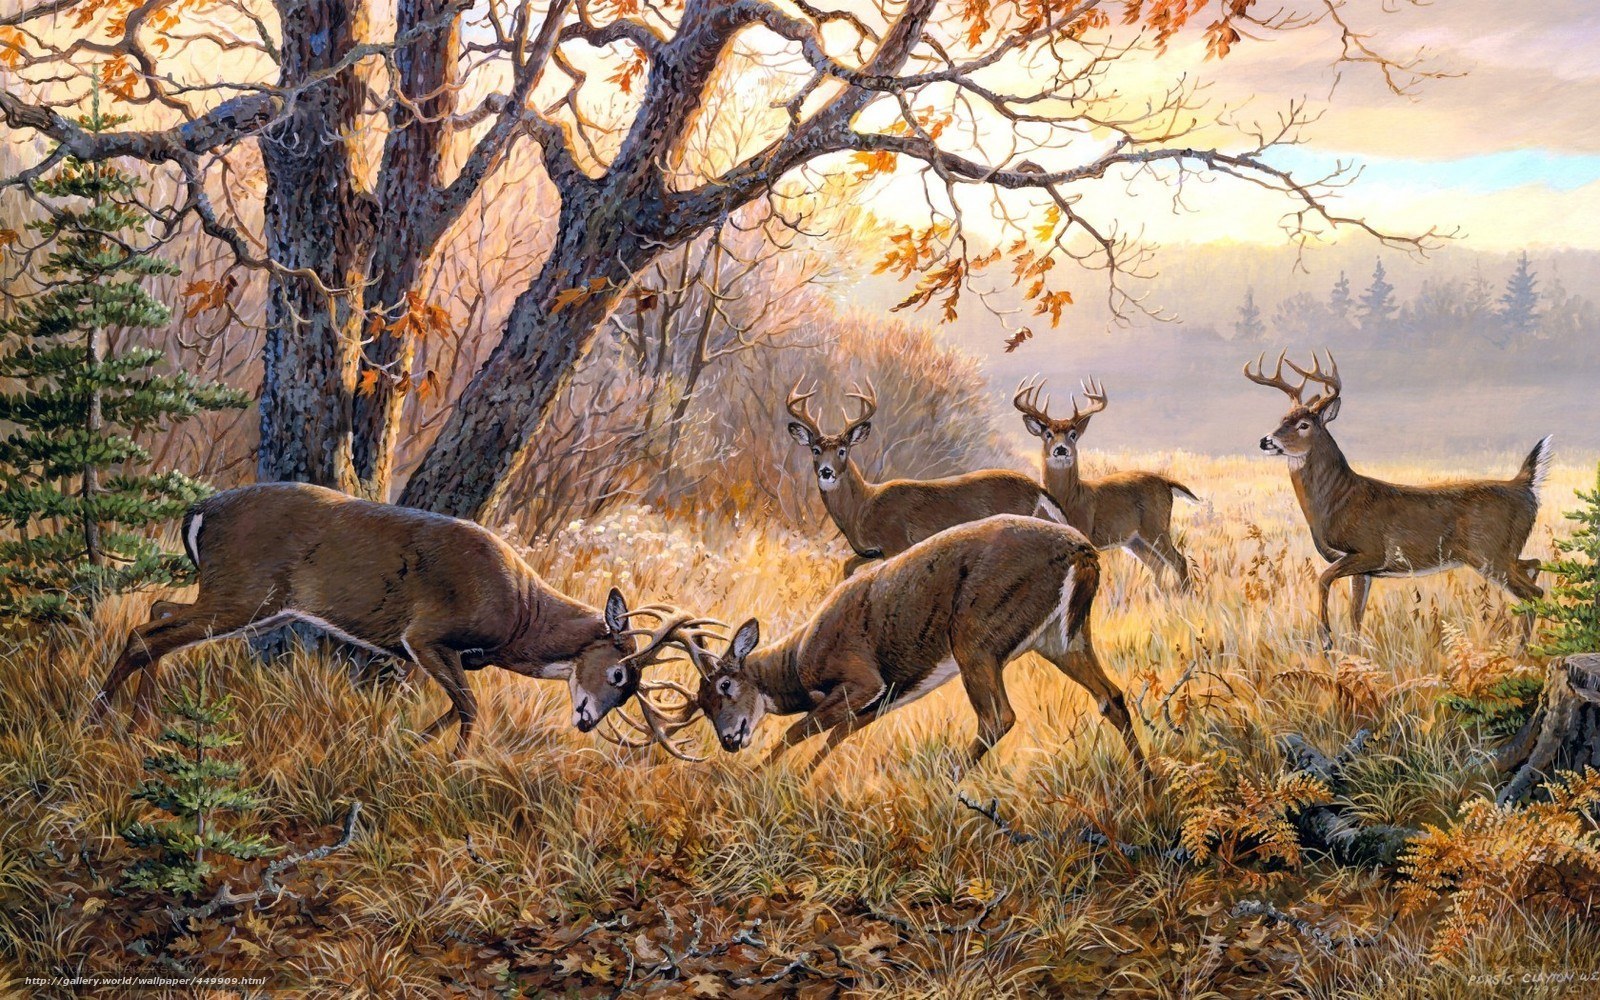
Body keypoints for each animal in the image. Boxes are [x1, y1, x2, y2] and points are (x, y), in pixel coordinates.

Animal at [85, 482, 705, 757]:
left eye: (631, 692)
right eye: (621, 675)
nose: (586, 721)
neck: (521, 619)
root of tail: (199, 511)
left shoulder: (441, 656)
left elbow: (453, 706)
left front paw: (412, 745)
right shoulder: (425, 635)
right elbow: (469, 707)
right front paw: (454, 764)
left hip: (245, 602)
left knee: (158, 614)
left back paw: (137, 723)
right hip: (243, 593)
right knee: (146, 632)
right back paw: (98, 723)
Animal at [639, 515, 1147, 778]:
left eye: (725, 685)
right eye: (702, 704)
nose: (729, 739)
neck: (798, 661)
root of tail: (1084, 552)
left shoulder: (863, 679)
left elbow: (797, 731)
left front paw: (760, 780)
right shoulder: (882, 699)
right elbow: (834, 736)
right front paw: (798, 781)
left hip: (976, 635)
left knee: (998, 717)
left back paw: (947, 786)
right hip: (1061, 637)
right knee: (1112, 696)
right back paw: (1148, 783)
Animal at [785, 379, 1067, 577]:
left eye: (842, 450)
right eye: (815, 450)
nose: (826, 472)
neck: (862, 508)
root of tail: (1037, 488)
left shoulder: (896, 543)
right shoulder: (870, 551)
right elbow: (846, 567)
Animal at [1013, 376, 1198, 591]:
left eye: (1073, 434)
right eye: (1048, 434)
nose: (1061, 449)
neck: (1069, 498)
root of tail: (1166, 482)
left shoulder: (1085, 532)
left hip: (1156, 525)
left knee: (1178, 560)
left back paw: (1186, 594)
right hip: (1135, 540)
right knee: (1157, 564)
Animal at [1244, 350, 1550, 649]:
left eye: (1303, 424)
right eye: (1282, 419)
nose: (1265, 441)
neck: (1338, 500)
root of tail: (1524, 486)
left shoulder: (1370, 551)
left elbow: (1323, 579)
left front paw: (1327, 637)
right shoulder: (1363, 570)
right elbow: (1355, 619)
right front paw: (1351, 653)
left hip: (1490, 552)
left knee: (1535, 591)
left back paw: (1520, 649)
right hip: (1503, 553)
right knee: (1534, 565)